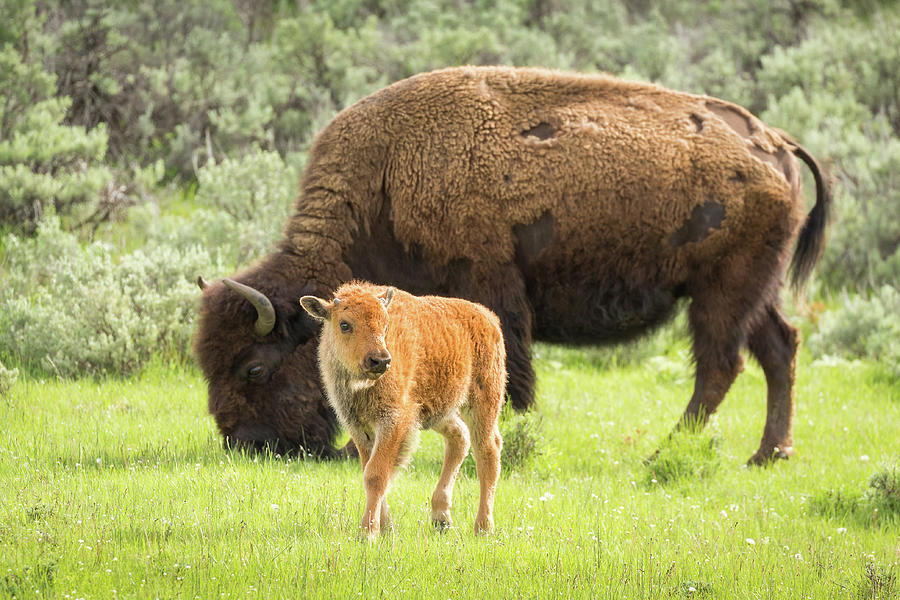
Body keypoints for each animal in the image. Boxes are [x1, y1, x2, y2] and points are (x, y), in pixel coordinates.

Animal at [195, 65, 828, 464]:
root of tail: (776, 142)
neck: (386, 182)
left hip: (721, 290)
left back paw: (664, 453)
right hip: (756, 288)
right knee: (780, 348)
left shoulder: (491, 289)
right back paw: (768, 454)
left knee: (720, 364)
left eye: (253, 368)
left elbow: (505, 373)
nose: (245, 445)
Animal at [298, 282, 502, 540]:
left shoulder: (393, 422)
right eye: (344, 324)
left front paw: (367, 533)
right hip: (438, 412)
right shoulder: (359, 428)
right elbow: (371, 471)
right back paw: (441, 519)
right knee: (460, 438)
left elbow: (376, 475)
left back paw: (483, 528)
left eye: (386, 324)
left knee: (488, 451)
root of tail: (488, 317)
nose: (380, 361)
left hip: (483, 401)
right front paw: (386, 528)